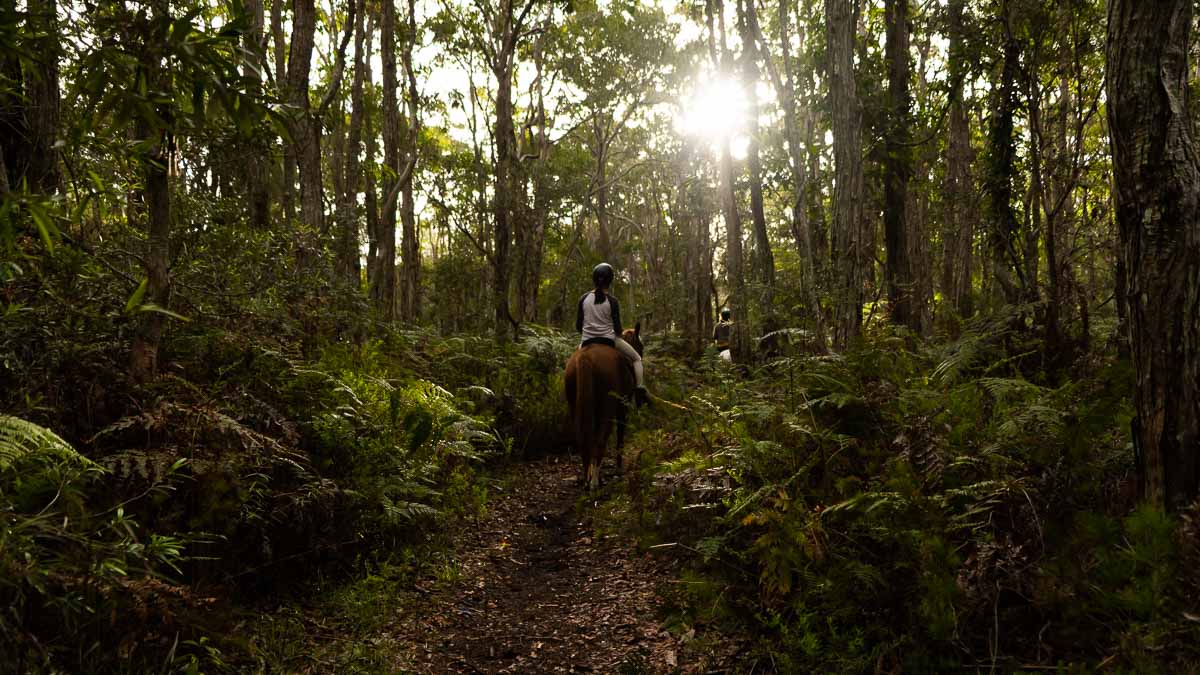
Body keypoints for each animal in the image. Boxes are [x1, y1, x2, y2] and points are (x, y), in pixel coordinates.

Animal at [564, 324, 648, 485]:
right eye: (641, 345)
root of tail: (586, 357)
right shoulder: (622, 408)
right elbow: (620, 437)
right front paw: (619, 468)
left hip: (574, 405)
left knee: (583, 438)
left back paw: (587, 478)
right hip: (608, 409)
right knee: (601, 439)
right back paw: (595, 482)